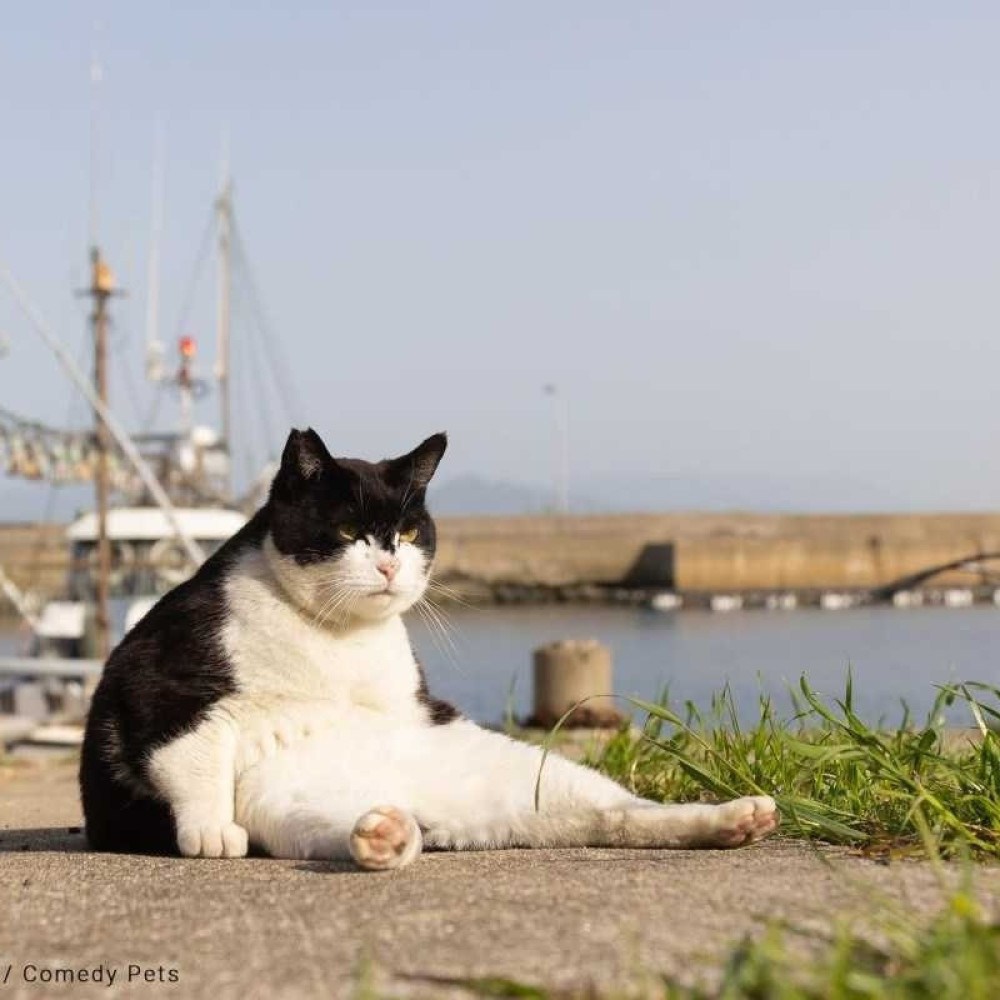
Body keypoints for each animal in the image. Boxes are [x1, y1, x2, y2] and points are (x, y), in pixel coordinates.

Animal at [80, 430, 780, 868]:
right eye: (347, 530)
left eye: (412, 532)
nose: (390, 564)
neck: (335, 639)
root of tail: (427, 807)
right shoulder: (161, 684)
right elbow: (193, 759)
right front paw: (207, 831)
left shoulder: (411, 704)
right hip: (281, 804)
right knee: (348, 831)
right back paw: (387, 837)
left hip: (527, 775)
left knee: (618, 813)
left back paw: (733, 820)